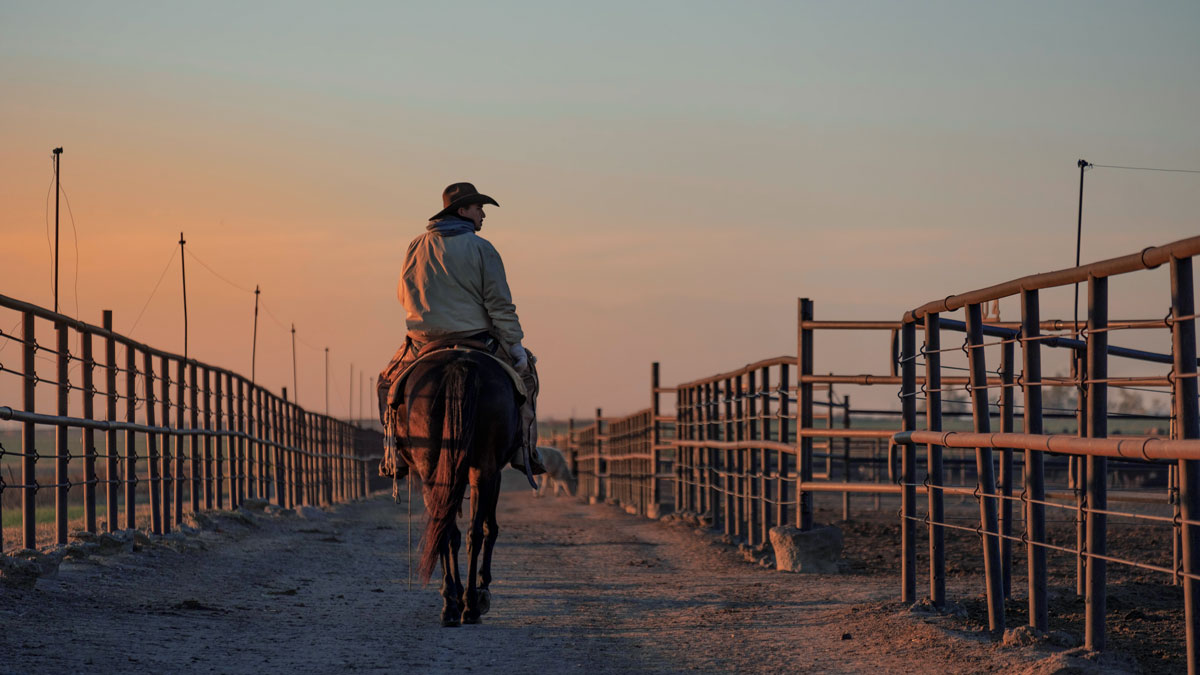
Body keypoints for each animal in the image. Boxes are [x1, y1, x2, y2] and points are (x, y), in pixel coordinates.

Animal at [398, 345, 520, 624]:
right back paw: (468, 604)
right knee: (469, 531)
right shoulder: (493, 473)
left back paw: (455, 605)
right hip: (480, 468)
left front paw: (462, 593)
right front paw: (476, 590)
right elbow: (488, 527)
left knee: (448, 528)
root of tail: (460, 363)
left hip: (434, 469)